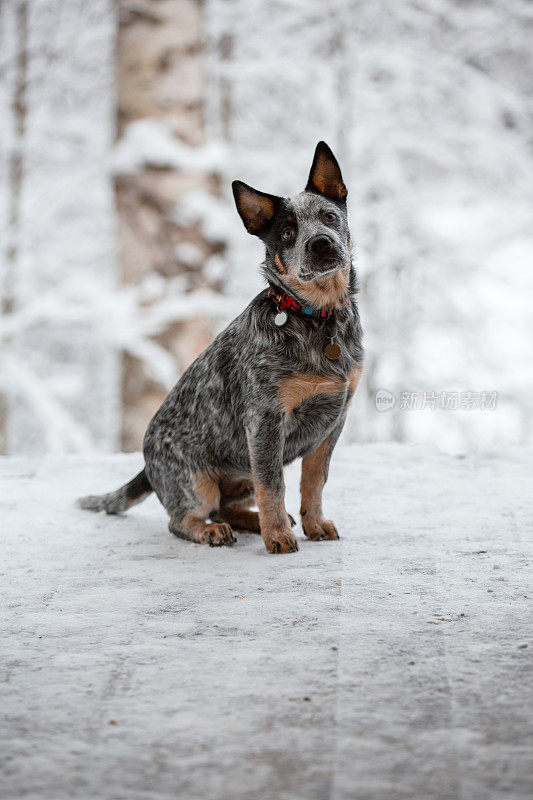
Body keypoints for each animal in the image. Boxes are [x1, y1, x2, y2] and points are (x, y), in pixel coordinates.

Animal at [78, 142, 362, 556]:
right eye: (287, 233)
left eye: (329, 216)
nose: (321, 242)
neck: (317, 317)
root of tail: (147, 466)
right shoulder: (265, 421)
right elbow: (273, 487)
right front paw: (278, 536)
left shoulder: (332, 421)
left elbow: (313, 482)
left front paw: (315, 523)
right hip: (197, 481)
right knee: (185, 519)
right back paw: (216, 530)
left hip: (241, 473)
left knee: (229, 506)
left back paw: (252, 521)